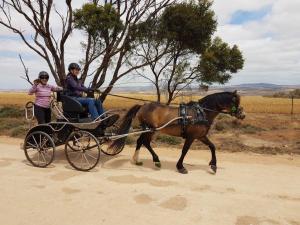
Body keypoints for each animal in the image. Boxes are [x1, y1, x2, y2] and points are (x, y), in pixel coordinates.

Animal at [109, 90, 245, 174]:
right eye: (235, 101)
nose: (242, 115)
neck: (201, 112)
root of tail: (143, 105)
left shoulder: (201, 136)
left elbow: (212, 146)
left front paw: (213, 165)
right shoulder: (191, 137)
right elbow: (184, 150)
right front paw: (180, 167)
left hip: (150, 130)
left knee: (141, 142)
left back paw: (138, 160)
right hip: (149, 129)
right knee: (144, 142)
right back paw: (155, 160)